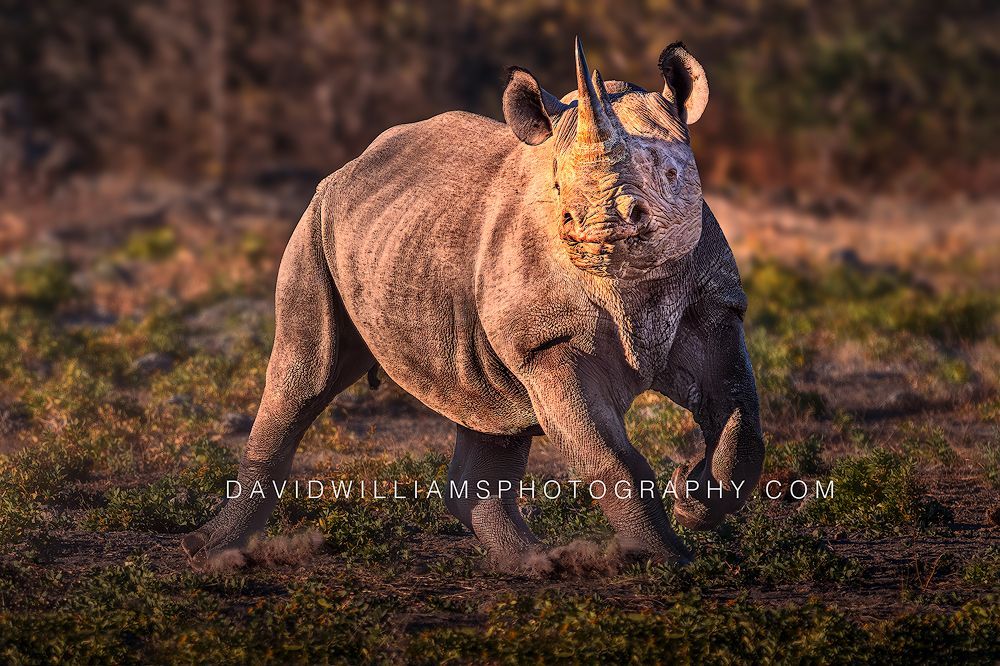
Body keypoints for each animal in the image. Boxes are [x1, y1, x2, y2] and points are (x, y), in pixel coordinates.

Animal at [182, 39, 764, 566]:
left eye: (670, 175)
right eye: (557, 186)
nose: (597, 229)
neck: (631, 280)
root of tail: (351, 164)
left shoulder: (713, 306)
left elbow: (740, 420)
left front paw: (693, 498)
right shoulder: (549, 341)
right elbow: (612, 459)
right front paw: (672, 562)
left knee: (492, 407)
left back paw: (535, 564)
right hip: (315, 224)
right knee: (303, 375)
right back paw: (211, 552)